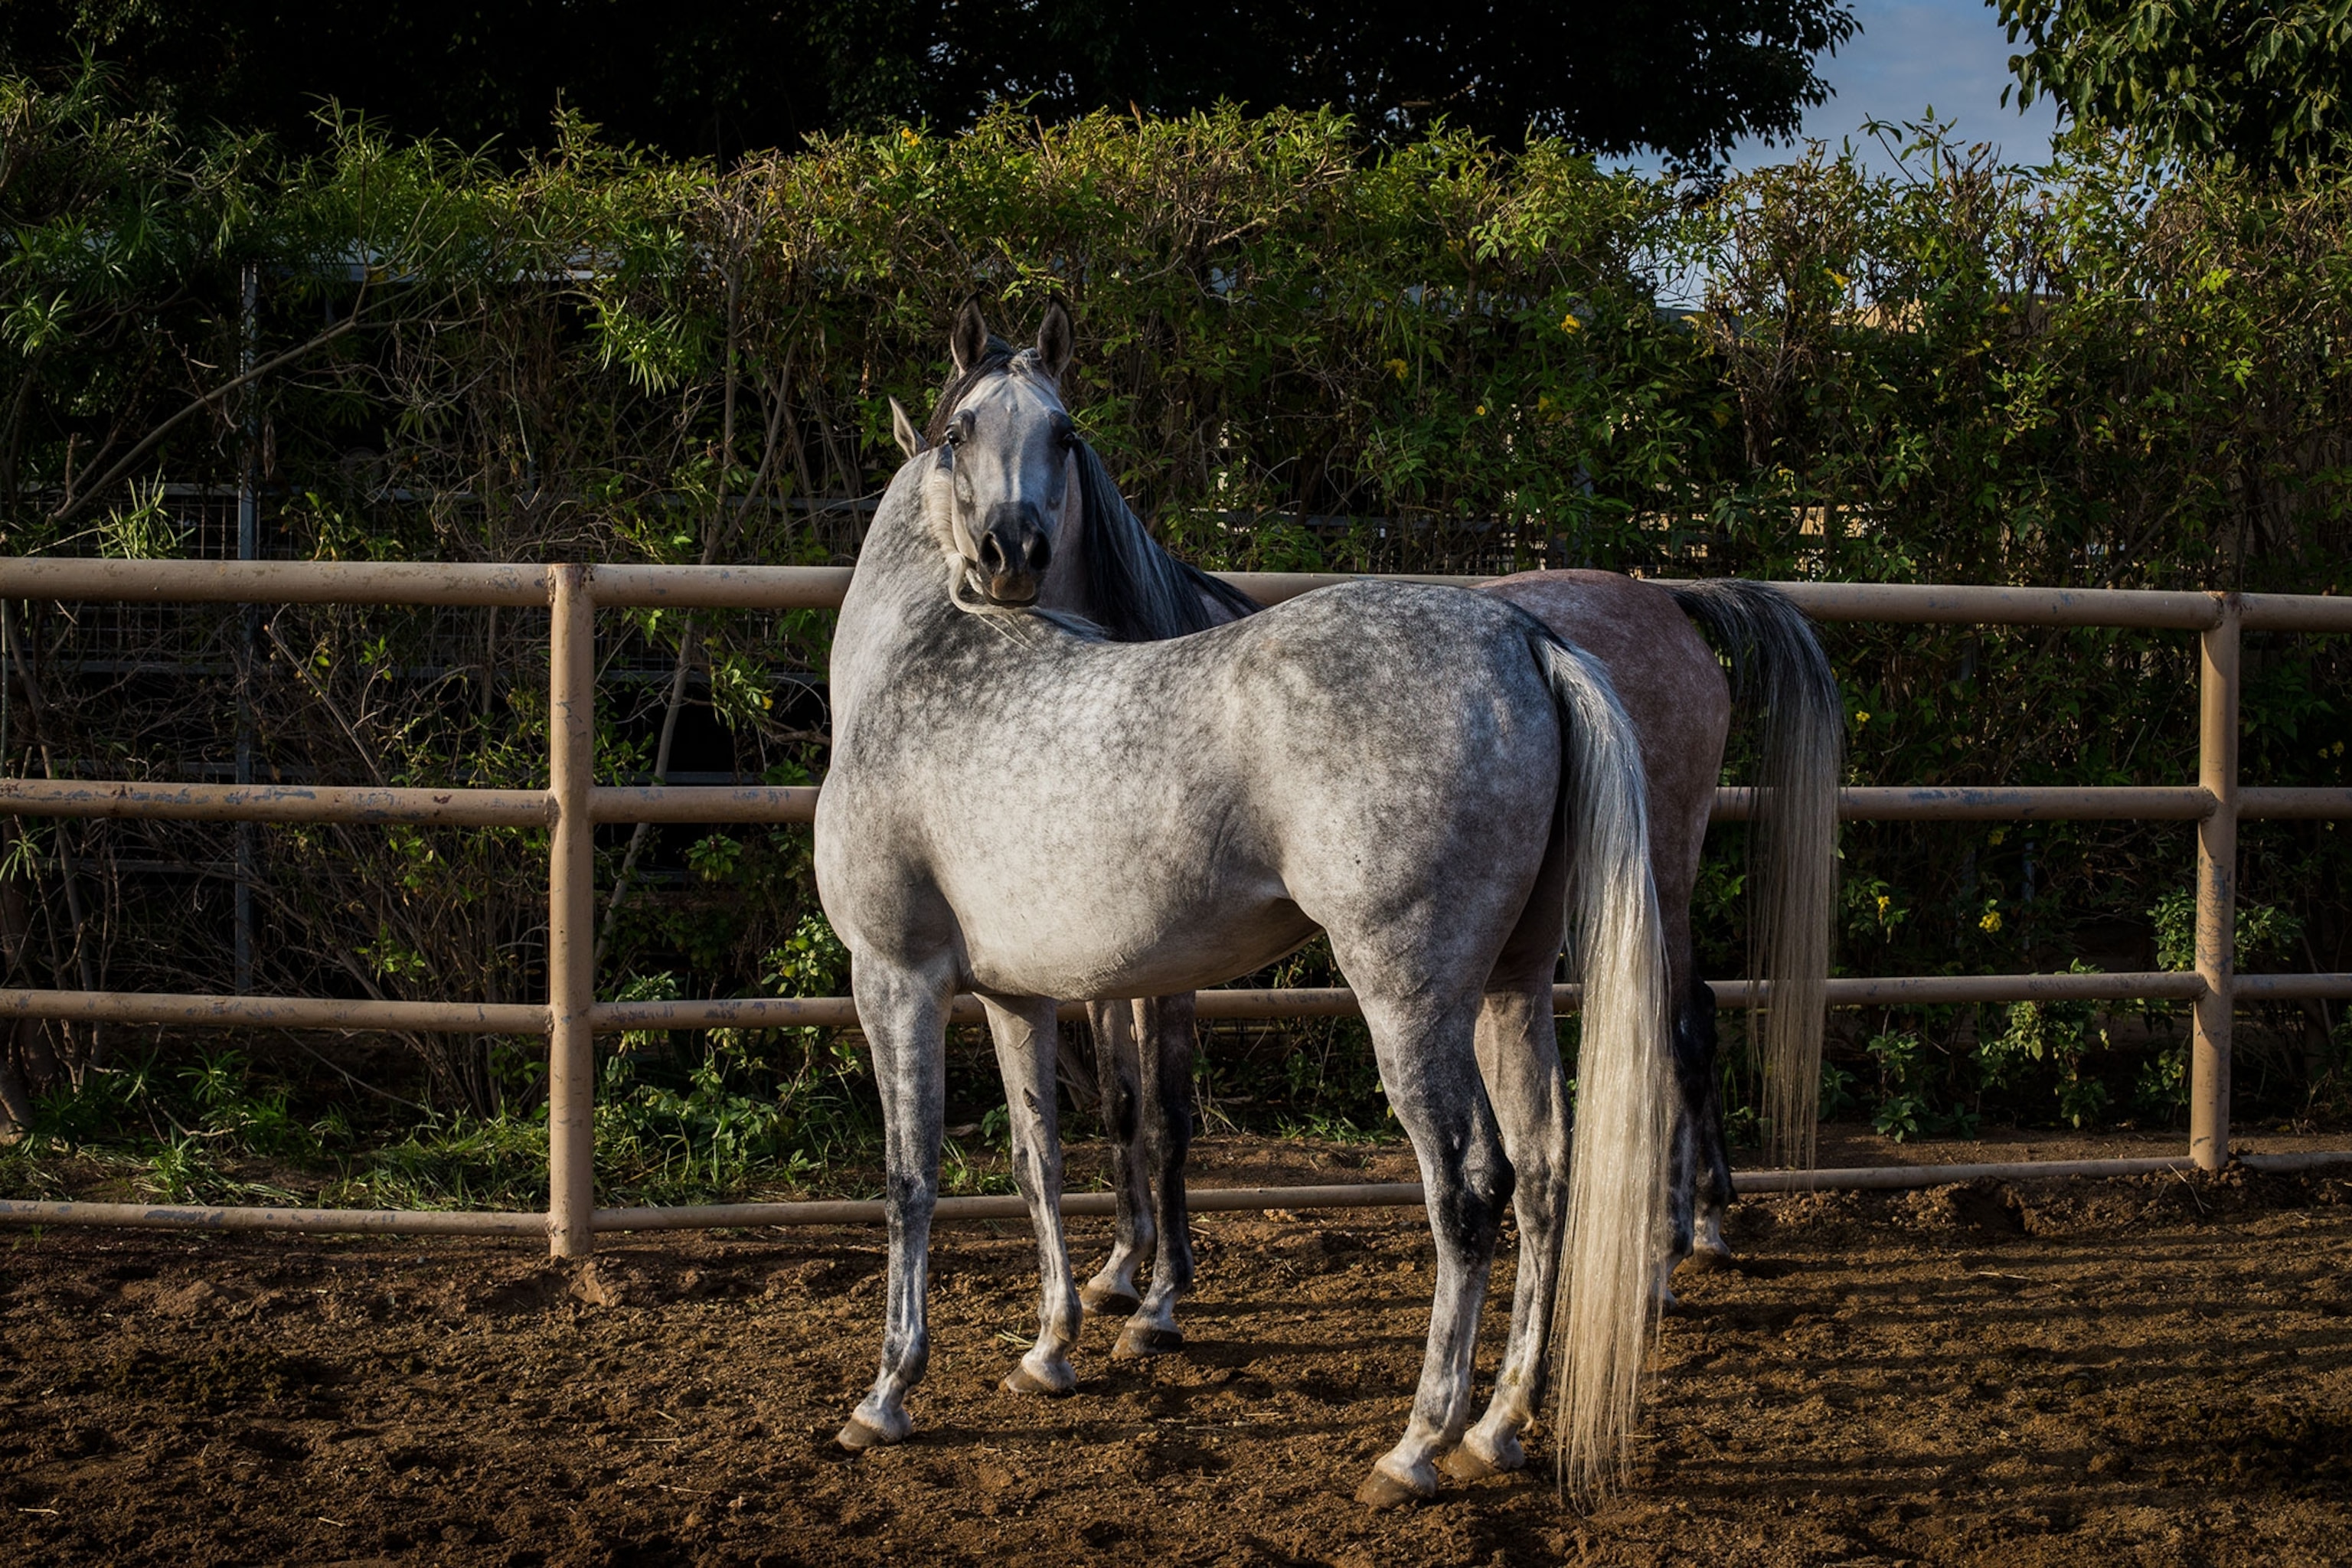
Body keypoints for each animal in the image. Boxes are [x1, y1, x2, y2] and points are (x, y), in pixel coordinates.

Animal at [821, 302, 1673, 1502]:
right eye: (961, 434)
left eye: (1065, 433)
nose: (1008, 556)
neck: (916, 659)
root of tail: (1528, 641)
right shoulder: (1016, 997)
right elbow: (1041, 1164)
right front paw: (1050, 1349)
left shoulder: (895, 979)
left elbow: (909, 1179)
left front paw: (888, 1390)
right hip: (1510, 987)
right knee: (1548, 1175)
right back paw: (1498, 1426)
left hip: (1410, 999)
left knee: (1469, 1188)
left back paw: (1416, 1445)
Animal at [886, 299, 1841, 1362]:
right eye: (959, 430)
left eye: (1065, 432)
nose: (1011, 552)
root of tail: (1666, 597)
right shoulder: (1102, 960)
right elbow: (1125, 1106)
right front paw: (1121, 1269)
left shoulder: (1170, 969)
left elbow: (1169, 1113)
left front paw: (1162, 1297)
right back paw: (1690, 1230)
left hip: (1658, 877)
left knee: (1679, 1028)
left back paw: (1668, 1250)